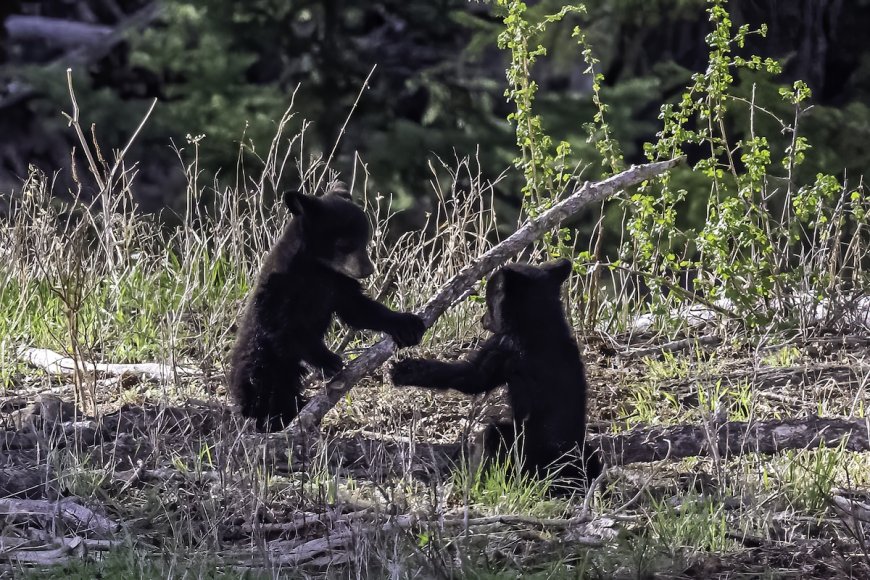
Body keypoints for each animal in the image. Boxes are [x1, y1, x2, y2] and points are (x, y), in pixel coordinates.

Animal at [230, 184, 426, 432]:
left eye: (365, 241)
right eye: (345, 244)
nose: (368, 269)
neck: (318, 268)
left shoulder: (339, 283)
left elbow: (358, 309)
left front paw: (406, 324)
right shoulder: (281, 286)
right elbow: (283, 326)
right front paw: (329, 360)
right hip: (262, 361)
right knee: (262, 388)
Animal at [390, 259, 602, 490]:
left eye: (490, 300)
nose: (482, 319)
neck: (539, 323)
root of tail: (561, 458)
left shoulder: (502, 346)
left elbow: (472, 377)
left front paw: (406, 370)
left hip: (522, 442)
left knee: (491, 436)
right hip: (583, 451)